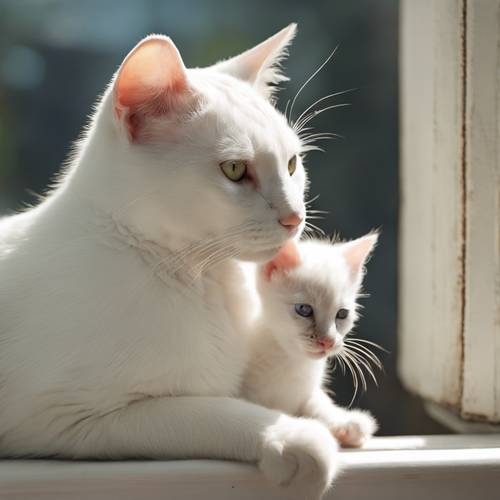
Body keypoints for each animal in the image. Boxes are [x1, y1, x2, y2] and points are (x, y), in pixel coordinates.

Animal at [0, 25, 340, 500]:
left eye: (292, 164)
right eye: (234, 170)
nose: (295, 217)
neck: (202, 279)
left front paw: (339, 420)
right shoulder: (71, 419)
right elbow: (212, 410)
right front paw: (292, 435)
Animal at [242, 235, 378, 450]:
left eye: (342, 314)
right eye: (304, 310)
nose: (328, 341)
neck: (289, 360)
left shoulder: (306, 390)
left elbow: (315, 400)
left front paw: (343, 422)